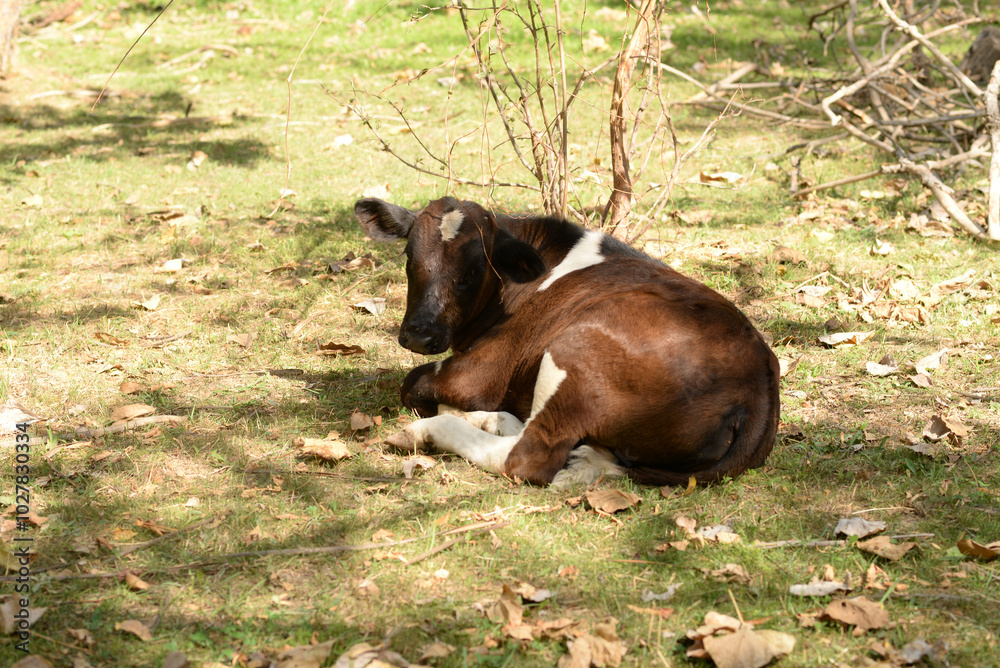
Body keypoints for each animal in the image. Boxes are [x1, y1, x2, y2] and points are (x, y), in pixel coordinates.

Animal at [355, 196, 780, 488]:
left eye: (473, 271)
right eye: (409, 258)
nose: (420, 334)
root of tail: (759, 384)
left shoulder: (476, 374)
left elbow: (414, 384)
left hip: (576, 347)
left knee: (528, 457)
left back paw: (428, 431)